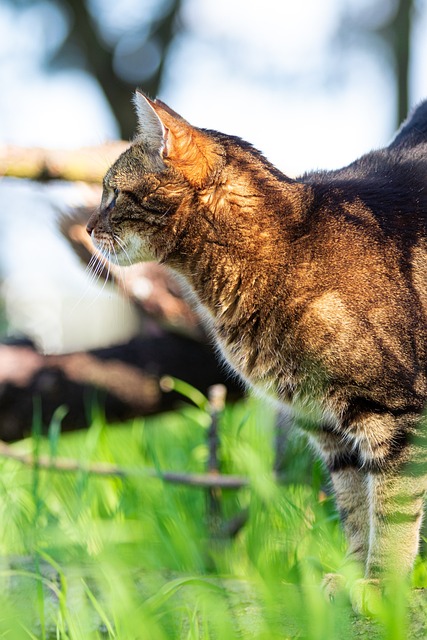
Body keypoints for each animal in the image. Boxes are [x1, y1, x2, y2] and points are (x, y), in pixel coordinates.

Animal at [86, 91, 427, 608]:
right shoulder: (329, 429)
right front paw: (349, 577)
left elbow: (391, 513)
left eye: (113, 193)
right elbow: (356, 509)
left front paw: (380, 588)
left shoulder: (393, 415)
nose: (87, 227)